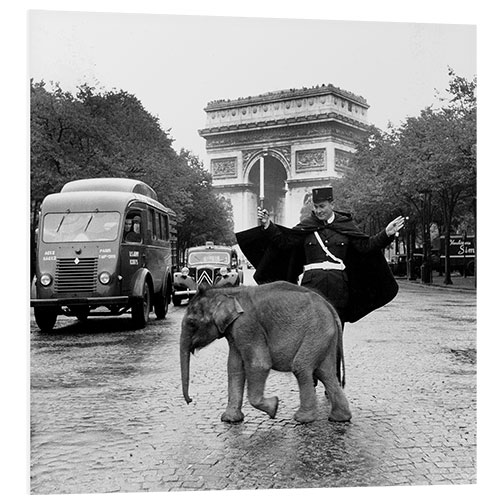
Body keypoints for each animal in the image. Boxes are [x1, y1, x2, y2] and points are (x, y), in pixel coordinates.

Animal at [180, 282, 352, 422]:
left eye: (192, 323)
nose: (190, 401)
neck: (228, 291)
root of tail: (329, 306)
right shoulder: (234, 332)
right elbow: (234, 367)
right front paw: (229, 420)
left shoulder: (247, 325)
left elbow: (259, 364)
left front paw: (274, 407)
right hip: (324, 336)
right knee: (325, 373)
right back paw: (340, 418)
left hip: (316, 331)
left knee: (302, 368)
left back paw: (303, 419)